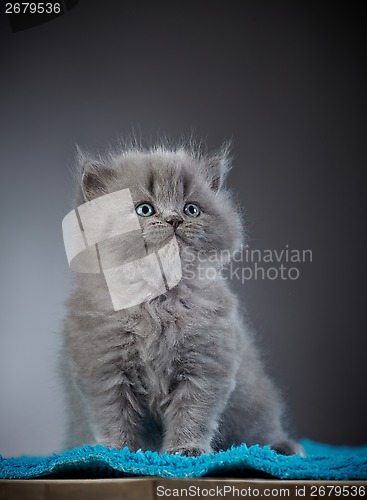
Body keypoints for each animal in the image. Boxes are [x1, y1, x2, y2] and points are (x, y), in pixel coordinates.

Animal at [60, 141, 302, 458]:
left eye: (192, 209)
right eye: (144, 209)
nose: (175, 219)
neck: (157, 302)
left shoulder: (205, 364)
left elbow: (193, 411)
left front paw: (186, 449)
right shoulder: (103, 368)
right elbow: (112, 414)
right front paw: (115, 451)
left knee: (262, 430)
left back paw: (284, 446)